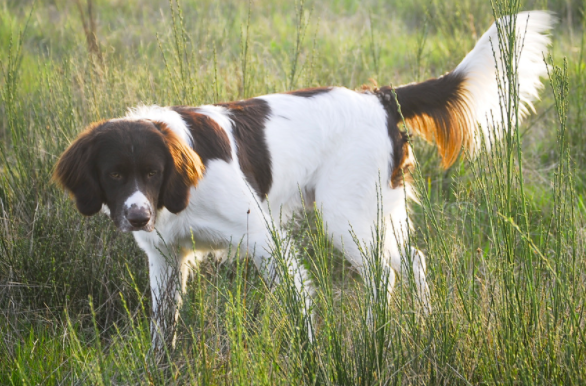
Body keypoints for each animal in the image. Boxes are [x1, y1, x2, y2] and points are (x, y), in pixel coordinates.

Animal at [54, 10, 552, 346]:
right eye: (114, 175)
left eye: (153, 172)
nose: (137, 217)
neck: (181, 191)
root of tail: (380, 97)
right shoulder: (165, 259)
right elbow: (163, 329)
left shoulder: (263, 236)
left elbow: (300, 301)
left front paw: (312, 354)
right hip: (376, 211)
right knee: (409, 263)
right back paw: (412, 328)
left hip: (345, 214)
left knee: (385, 274)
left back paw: (375, 340)